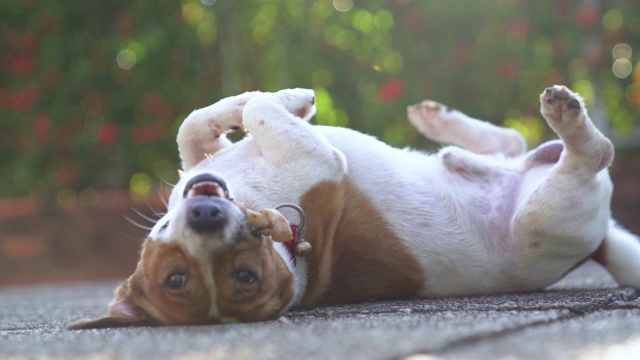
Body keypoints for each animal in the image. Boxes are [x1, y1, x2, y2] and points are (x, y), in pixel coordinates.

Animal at [69, 85, 640, 330]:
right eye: (244, 277)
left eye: (173, 276)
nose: (204, 216)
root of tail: (600, 245)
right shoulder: (318, 157)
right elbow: (258, 113)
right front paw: (293, 98)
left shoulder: (204, 162)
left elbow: (197, 126)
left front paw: (268, 100)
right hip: (546, 214)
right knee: (595, 153)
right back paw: (566, 115)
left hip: (505, 163)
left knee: (508, 144)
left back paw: (440, 121)